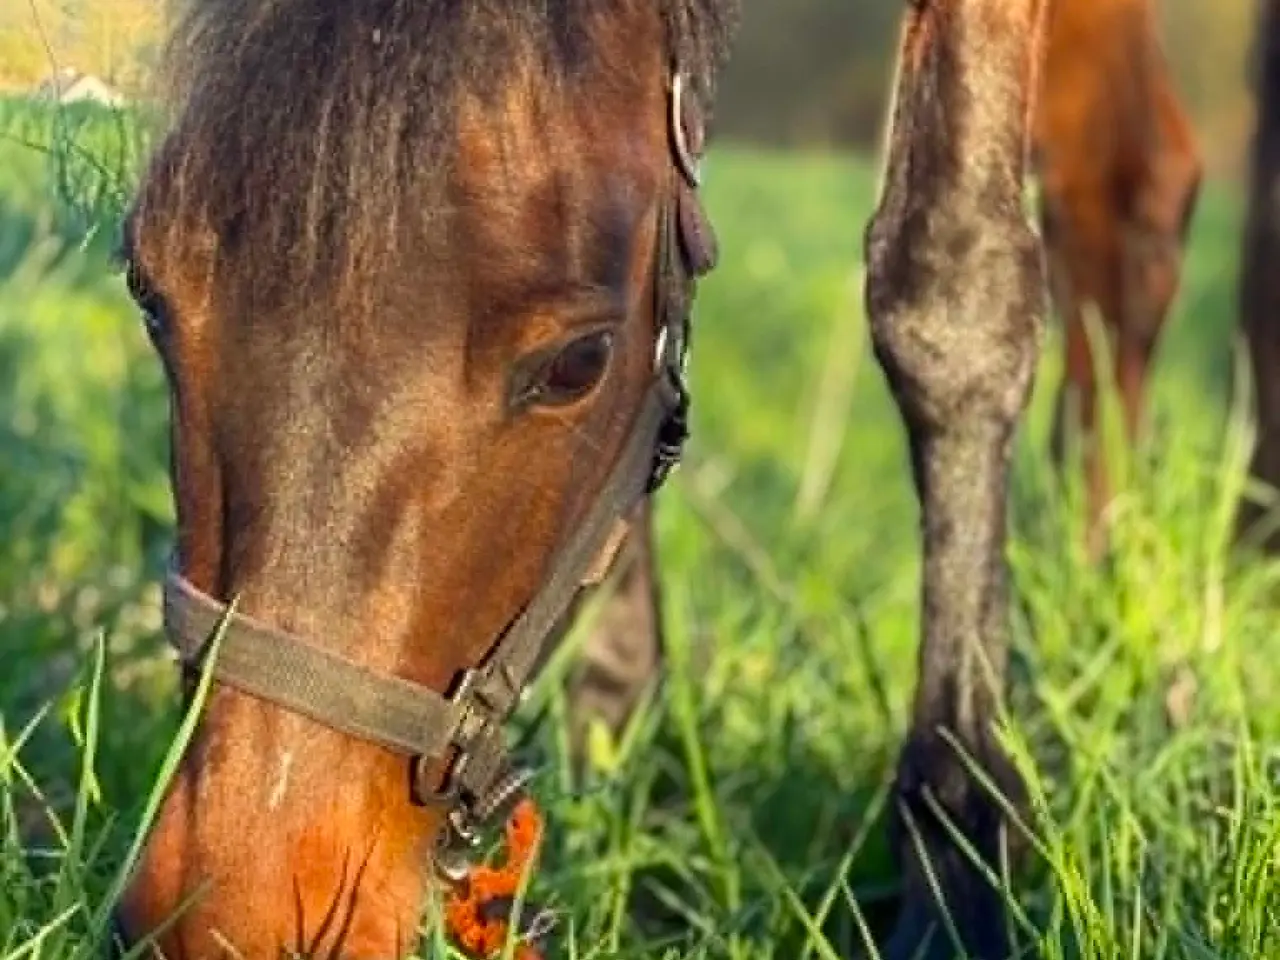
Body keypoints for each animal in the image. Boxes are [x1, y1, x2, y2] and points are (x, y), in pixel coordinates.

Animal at [109, 2, 1069, 959]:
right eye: (148, 293)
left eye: (580, 362)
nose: (226, 920)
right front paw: (620, 745)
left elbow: (953, 289)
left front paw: (958, 876)